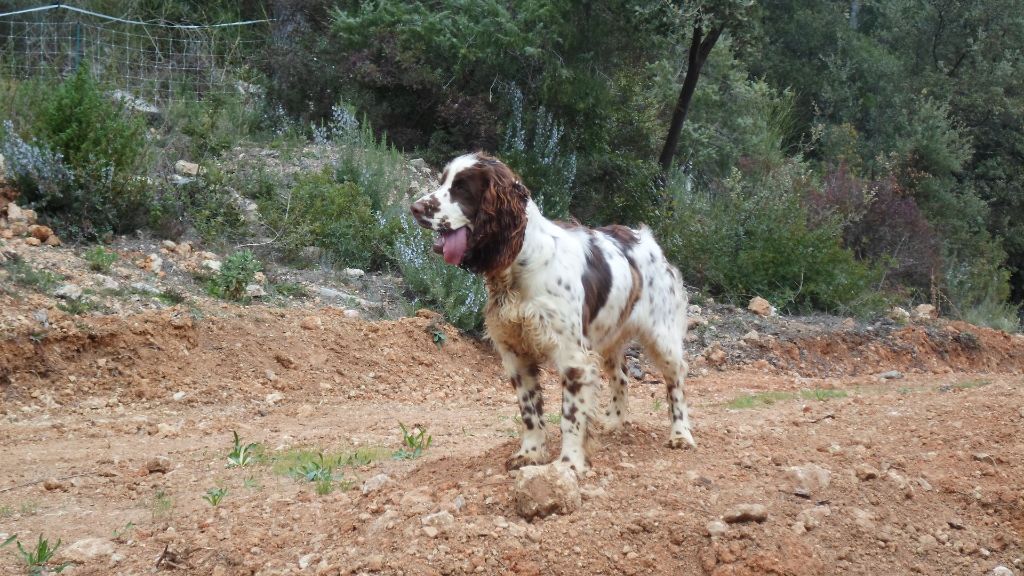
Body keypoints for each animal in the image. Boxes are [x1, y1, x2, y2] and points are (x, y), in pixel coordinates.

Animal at [409, 152, 696, 471]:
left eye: (461, 188)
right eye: (442, 181)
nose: (415, 208)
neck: (520, 262)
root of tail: (647, 238)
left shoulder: (573, 357)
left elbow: (570, 417)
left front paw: (569, 465)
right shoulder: (516, 355)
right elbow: (530, 412)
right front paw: (531, 453)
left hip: (662, 338)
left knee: (676, 382)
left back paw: (681, 434)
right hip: (608, 338)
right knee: (621, 377)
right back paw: (616, 422)